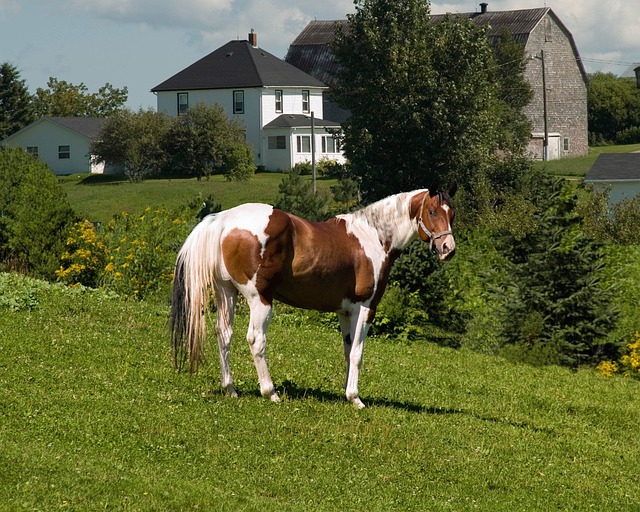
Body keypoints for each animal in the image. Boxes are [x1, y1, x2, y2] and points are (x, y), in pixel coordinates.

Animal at [171, 187, 456, 408]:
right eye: (432, 212)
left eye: (451, 213)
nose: (448, 249)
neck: (373, 236)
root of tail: (224, 219)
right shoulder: (365, 308)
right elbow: (357, 354)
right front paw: (355, 398)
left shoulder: (345, 312)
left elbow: (347, 350)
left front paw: (346, 393)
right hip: (259, 299)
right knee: (256, 339)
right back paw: (270, 392)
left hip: (226, 293)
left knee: (224, 334)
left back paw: (230, 388)